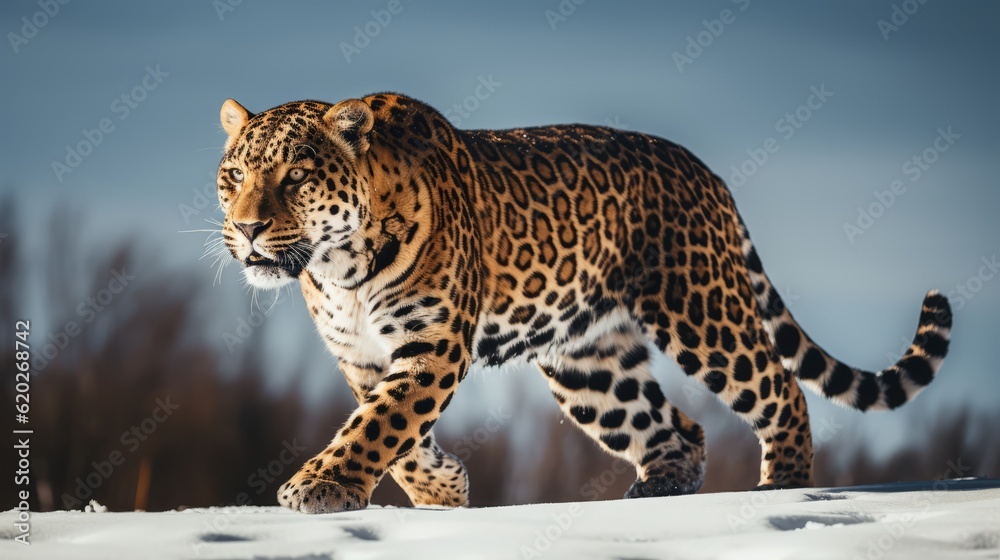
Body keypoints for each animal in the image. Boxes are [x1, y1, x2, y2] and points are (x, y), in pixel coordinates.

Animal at [214, 92, 952, 513]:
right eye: (234, 175)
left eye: (297, 175)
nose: (246, 228)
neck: (340, 266)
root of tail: (705, 172)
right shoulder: (362, 358)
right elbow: (396, 435)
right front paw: (442, 493)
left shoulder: (433, 345)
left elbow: (383, 424)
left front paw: (320, 488)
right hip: (588, 364)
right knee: (678, 429)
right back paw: (659, 489)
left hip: (702, 310)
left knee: (780, 387)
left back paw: (783, 489)